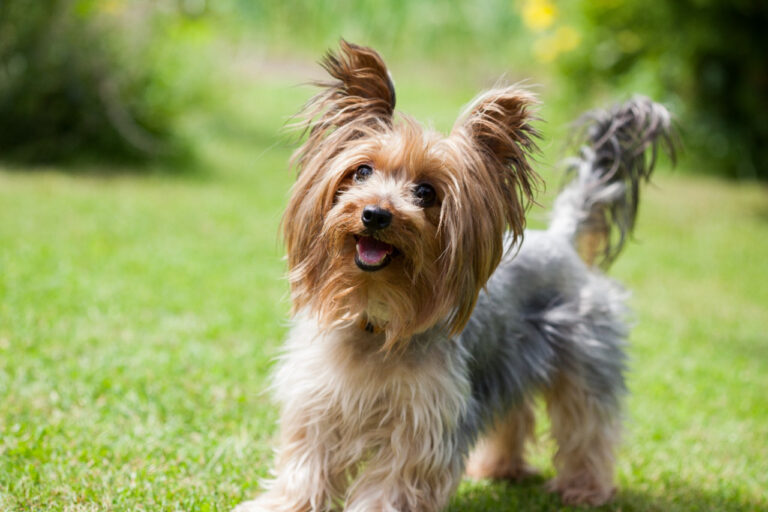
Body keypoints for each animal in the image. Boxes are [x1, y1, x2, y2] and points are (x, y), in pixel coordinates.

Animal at [237, 41, 676, 512]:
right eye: (362, 171)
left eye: (426, 192)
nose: (375, 214)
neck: (376, 313)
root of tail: (563, 240)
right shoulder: (318, 402)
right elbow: (305, 466)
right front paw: (279, 504)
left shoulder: (422, 423)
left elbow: (392, 484)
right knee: (515, 412)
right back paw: (499, 468)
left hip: (584, 354)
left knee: (587, 424)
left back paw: (584, 487)